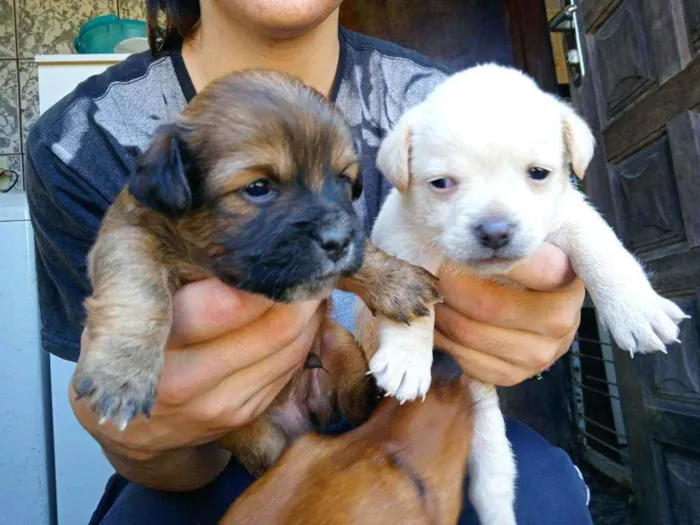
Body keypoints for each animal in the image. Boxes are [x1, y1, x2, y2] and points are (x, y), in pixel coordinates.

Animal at [74, 68, 440, 474]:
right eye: (258, 187)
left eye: (344, 180)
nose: (338, 241)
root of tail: (301, 416)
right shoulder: (129, 235)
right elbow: (138, 292)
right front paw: (123, 373)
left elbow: (366, 256)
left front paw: (399, 281)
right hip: (257, 437)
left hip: (343, 352)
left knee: (357, 407)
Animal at [356, 64, 688, 524]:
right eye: (440, 183)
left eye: (539, 173)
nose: (495, 231)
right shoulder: (402, 240)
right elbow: (407, 296)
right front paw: (407, 359)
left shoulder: (573, 216)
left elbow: (602, 251)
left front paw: (637, 310)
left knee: (494, 485)